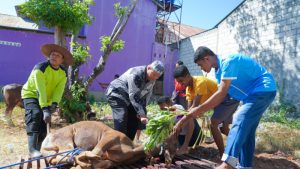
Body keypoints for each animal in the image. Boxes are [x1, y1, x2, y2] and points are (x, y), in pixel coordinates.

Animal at [42, 121, 178, 168]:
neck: (132, 149)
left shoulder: (112, 161)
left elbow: (100, 163)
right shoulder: (109, 136)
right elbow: (94, 152)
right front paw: (84, 160)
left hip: (56, 151)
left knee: (57, 158)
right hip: (67, 141)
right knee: (65, 155)